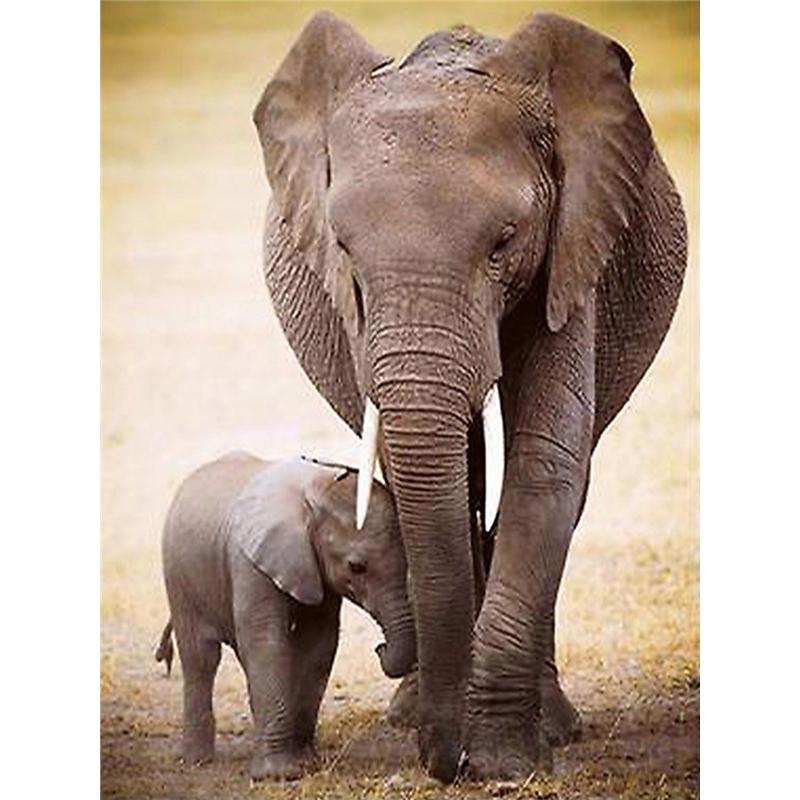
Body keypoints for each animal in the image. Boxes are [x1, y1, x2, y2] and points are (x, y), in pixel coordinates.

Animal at [157, 452, 416, 780]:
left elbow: (318, 642)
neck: (315, 491)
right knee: (200, 658)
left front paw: (305, 763)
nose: (380, 648)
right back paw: (196, 760)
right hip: (178, 574)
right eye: (357, 567)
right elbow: (266, 641)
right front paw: (278, 775)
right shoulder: (250, 562)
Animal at [252, 11, 687, 782]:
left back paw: (552, 725)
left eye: (504, 242)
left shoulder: (574, 245)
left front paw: (505, 762)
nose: (442, 761)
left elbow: (546, 461)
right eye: (343, 248)